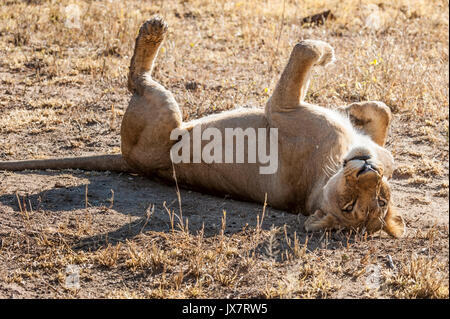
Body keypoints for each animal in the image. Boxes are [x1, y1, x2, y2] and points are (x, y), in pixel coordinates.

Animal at [0, 16, 406, 238]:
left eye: (351, 207)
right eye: (380, 195)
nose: (367, 171)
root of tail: (128, 162)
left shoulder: (281, 106)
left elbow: (304, 47)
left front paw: (328, 55)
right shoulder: (352, 138)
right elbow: (383, 113)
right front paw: (356, 107)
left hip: (165, 113)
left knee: (136, 80)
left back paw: (152, 32)